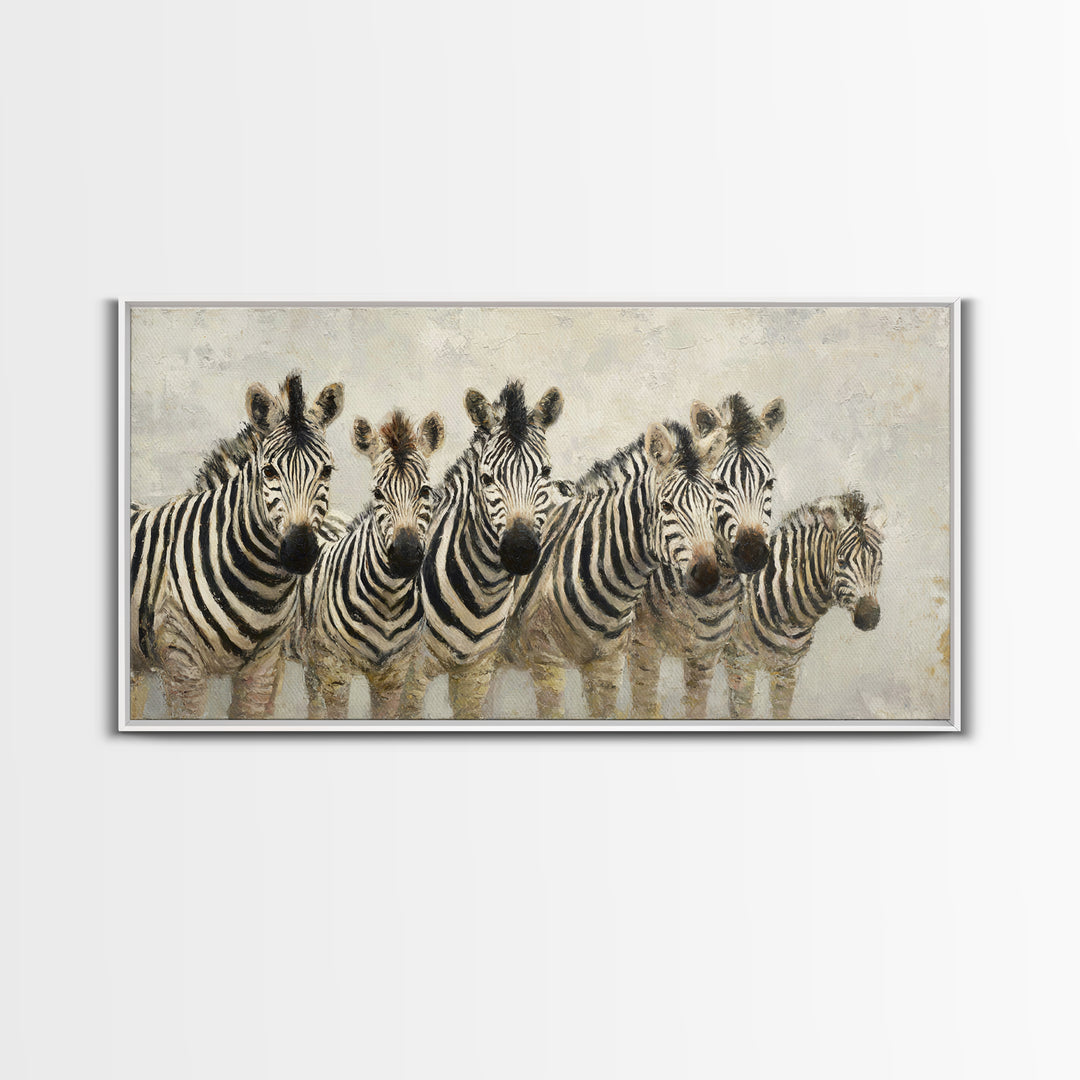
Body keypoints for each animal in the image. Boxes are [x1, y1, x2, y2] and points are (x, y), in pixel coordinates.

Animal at [129, 373, 344, 720]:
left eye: (326, 471)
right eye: (268, 471)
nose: (299, 552)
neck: (261, 587)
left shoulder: (263, 666)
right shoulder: (181, 663)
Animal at [295, 408, 445, 720]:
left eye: (425, 491)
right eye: (377, 493)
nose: (405, 555)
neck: (389, 601)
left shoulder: (394, 673)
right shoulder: (334, 669)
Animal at [398, 379, 565, 720]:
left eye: (545, 473)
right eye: (487, 478)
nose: (520, 550)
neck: (482, 593)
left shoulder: (477, 672)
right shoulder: (412, 671)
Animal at [627, 393, 787, 718]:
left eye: (770, 483)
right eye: (719, 485)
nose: (752, 553)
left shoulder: (706, 657)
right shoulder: (643, 648)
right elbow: (643, 707)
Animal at [721, 490, 884, 719]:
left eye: (878, 564)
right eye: (841, 562)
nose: (869, 617)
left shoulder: (787, 669)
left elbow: (781, 713)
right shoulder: (740, 663)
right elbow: (741, 712)